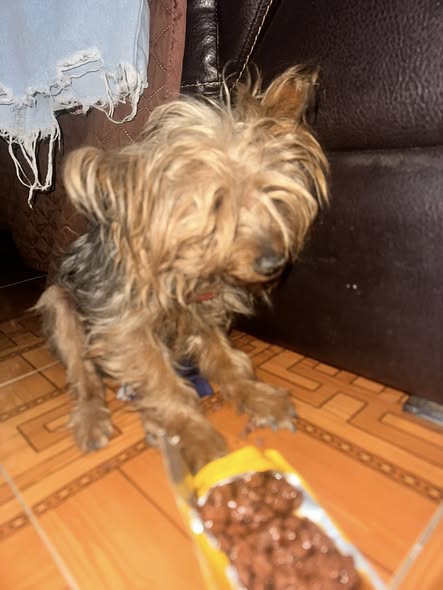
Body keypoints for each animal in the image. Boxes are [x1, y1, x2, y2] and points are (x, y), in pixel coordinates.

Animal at [36, 66, 328, 472]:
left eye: (271, 194)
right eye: (217, 205)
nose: (273, 264)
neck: (188, 269)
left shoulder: (203, 317)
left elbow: (227, 362)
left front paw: (256, 397)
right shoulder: (124, 329)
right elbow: (164, 383)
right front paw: (197, 437)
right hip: (59, 301)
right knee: (83, 374)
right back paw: (93, 418)